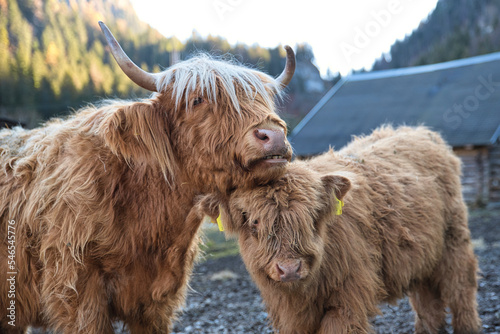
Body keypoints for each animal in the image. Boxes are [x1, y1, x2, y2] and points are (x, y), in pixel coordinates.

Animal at [206, 126, 480, 334]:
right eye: (254, 222)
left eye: (312, 216)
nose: (290, 269)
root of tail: (421, 131)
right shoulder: (289, 314)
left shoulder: (348, 300)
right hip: (422, 256)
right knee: (427, 301)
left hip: (454, 241)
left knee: (460, 290)